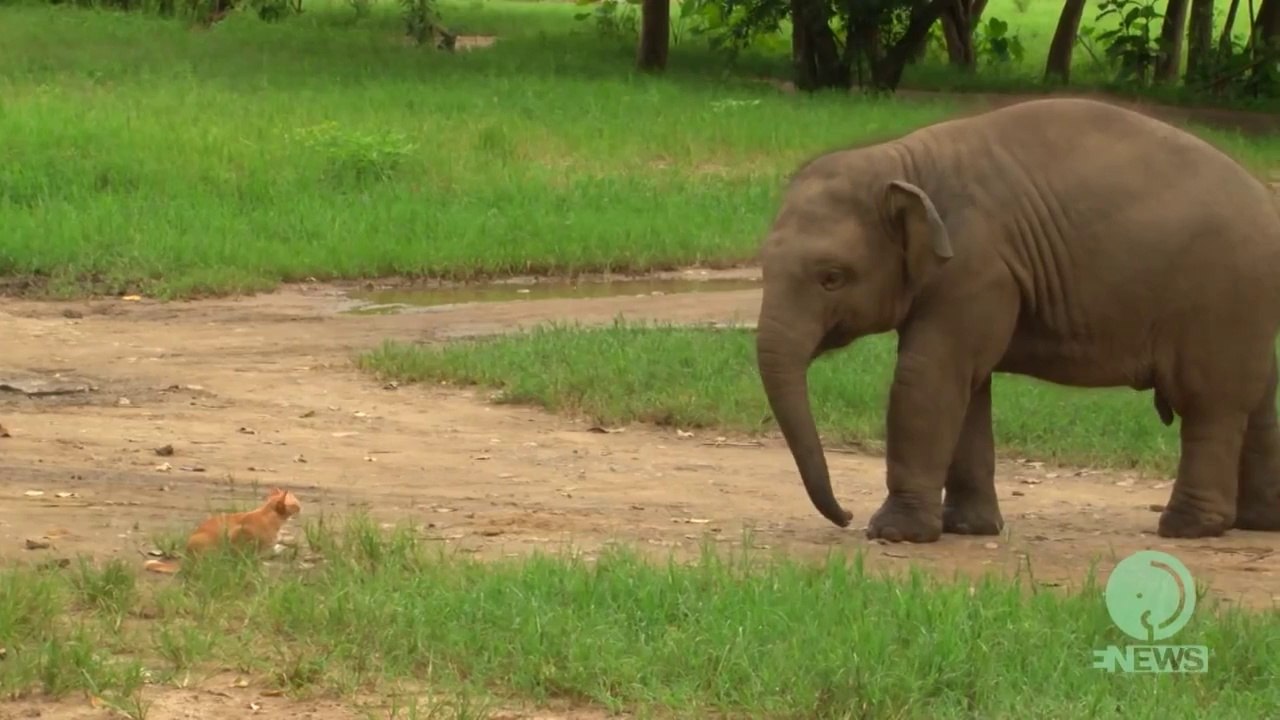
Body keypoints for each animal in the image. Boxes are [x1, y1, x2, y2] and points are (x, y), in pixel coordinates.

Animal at [754, 96, 1280, 543]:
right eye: (763, 262)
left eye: (831, 277)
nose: (844, 515)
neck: (901, 160)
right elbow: (968, 386)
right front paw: (968, 528)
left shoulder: (977, 267)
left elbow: (928, 378)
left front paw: (895, 533)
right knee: (1259, 400)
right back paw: (1257, 523)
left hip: (1222, 299)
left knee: (1210, 403)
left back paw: (1188, 528)